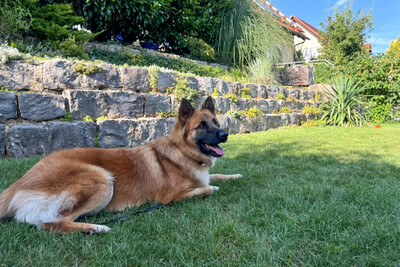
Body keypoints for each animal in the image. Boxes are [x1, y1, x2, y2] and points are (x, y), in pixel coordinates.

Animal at [0, 97, 241, 234]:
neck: (182, 151)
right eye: (202, 126)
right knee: (49, 223)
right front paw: (212, 187)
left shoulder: (203, 174)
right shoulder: (170, 197)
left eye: (216, 122)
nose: (225, 135)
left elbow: (217, 175)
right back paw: (95, 228)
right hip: (101, 179)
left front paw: (235, 176)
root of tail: (19, 183)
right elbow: (206, 188)